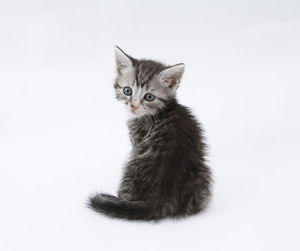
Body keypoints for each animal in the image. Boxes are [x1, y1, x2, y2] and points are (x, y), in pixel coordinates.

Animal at [88, 46, 212, 220]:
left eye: (149, 97)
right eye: (127, 90)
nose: (133, 106)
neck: (160, 111)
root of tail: (157, 201)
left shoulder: (136, 139)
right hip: (203, 176)